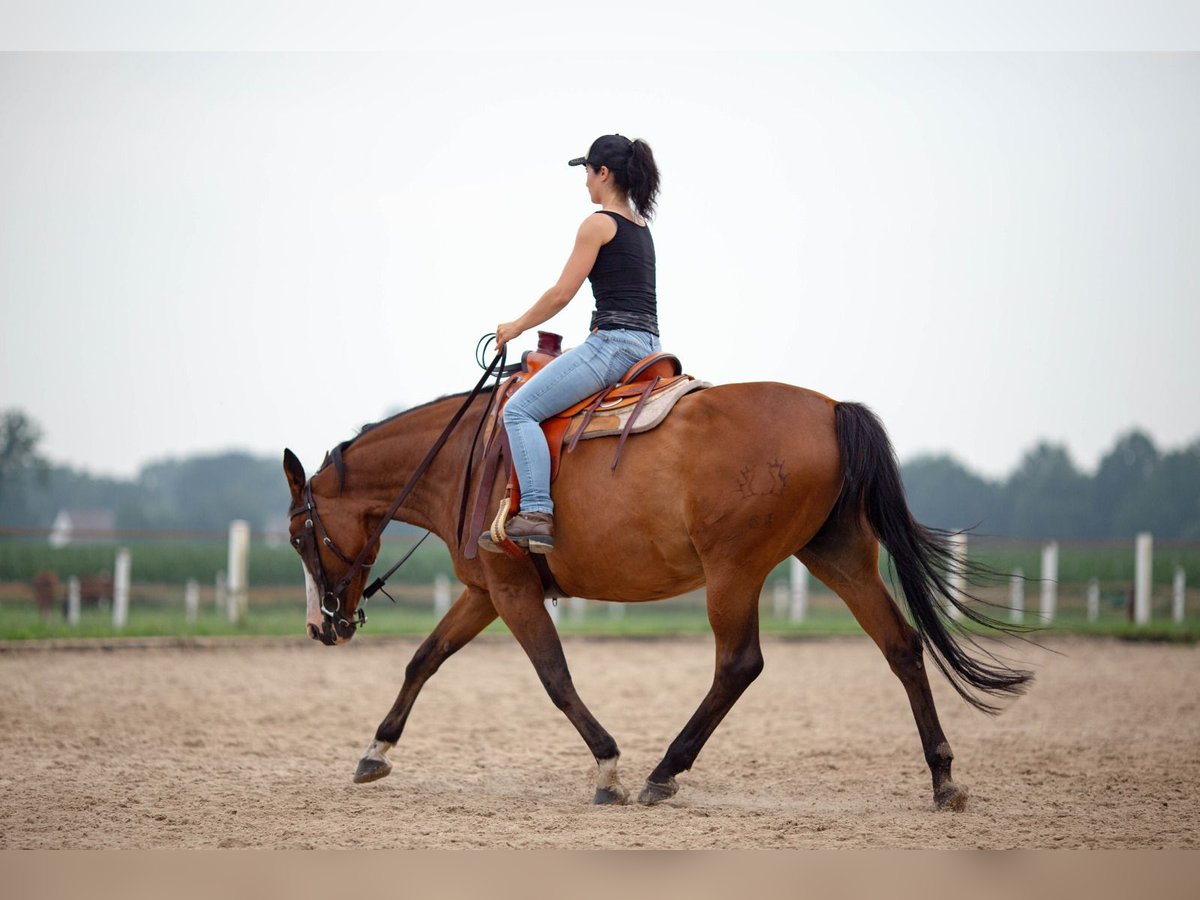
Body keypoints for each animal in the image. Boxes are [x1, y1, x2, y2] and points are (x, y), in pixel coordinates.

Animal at [283, 379, 1032, 811]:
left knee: (739, 664)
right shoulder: (486, 591)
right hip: (838, 555)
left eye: (297, 536)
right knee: (902, 646)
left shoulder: (511, 589)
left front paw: (609, 768)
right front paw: (376, 751)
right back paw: (942, 777)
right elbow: (425, 659)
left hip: (734, 571)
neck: (464, 458)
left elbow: (555, 678)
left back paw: (663, 771)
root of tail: (829, 410)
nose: (324, 627)